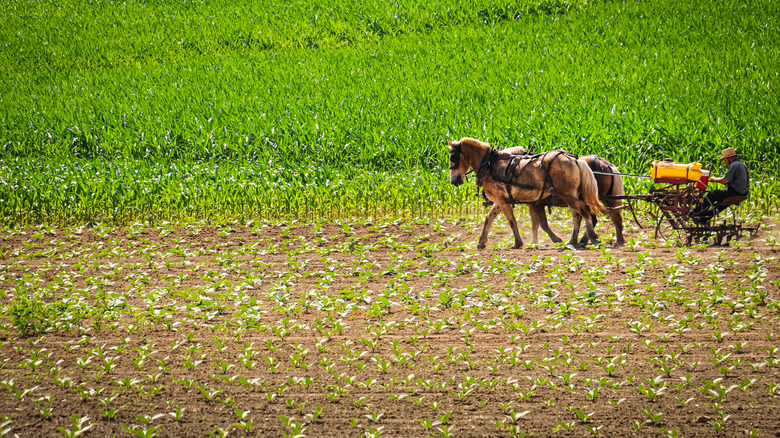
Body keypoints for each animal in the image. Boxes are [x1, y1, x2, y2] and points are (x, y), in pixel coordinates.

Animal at [448, 137, 605, 249]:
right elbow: (489, 218)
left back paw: (592, 238)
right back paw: (574, 241)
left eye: (452, 157)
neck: (489, 164)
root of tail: (575, 160)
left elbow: (512, 221)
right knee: (578, 216)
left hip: (570, 197)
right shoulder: (501, 200)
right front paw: (481, 242)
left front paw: (518, 243)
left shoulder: (502, 200)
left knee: (584, 212)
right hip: (571, 196)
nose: (454, 181)